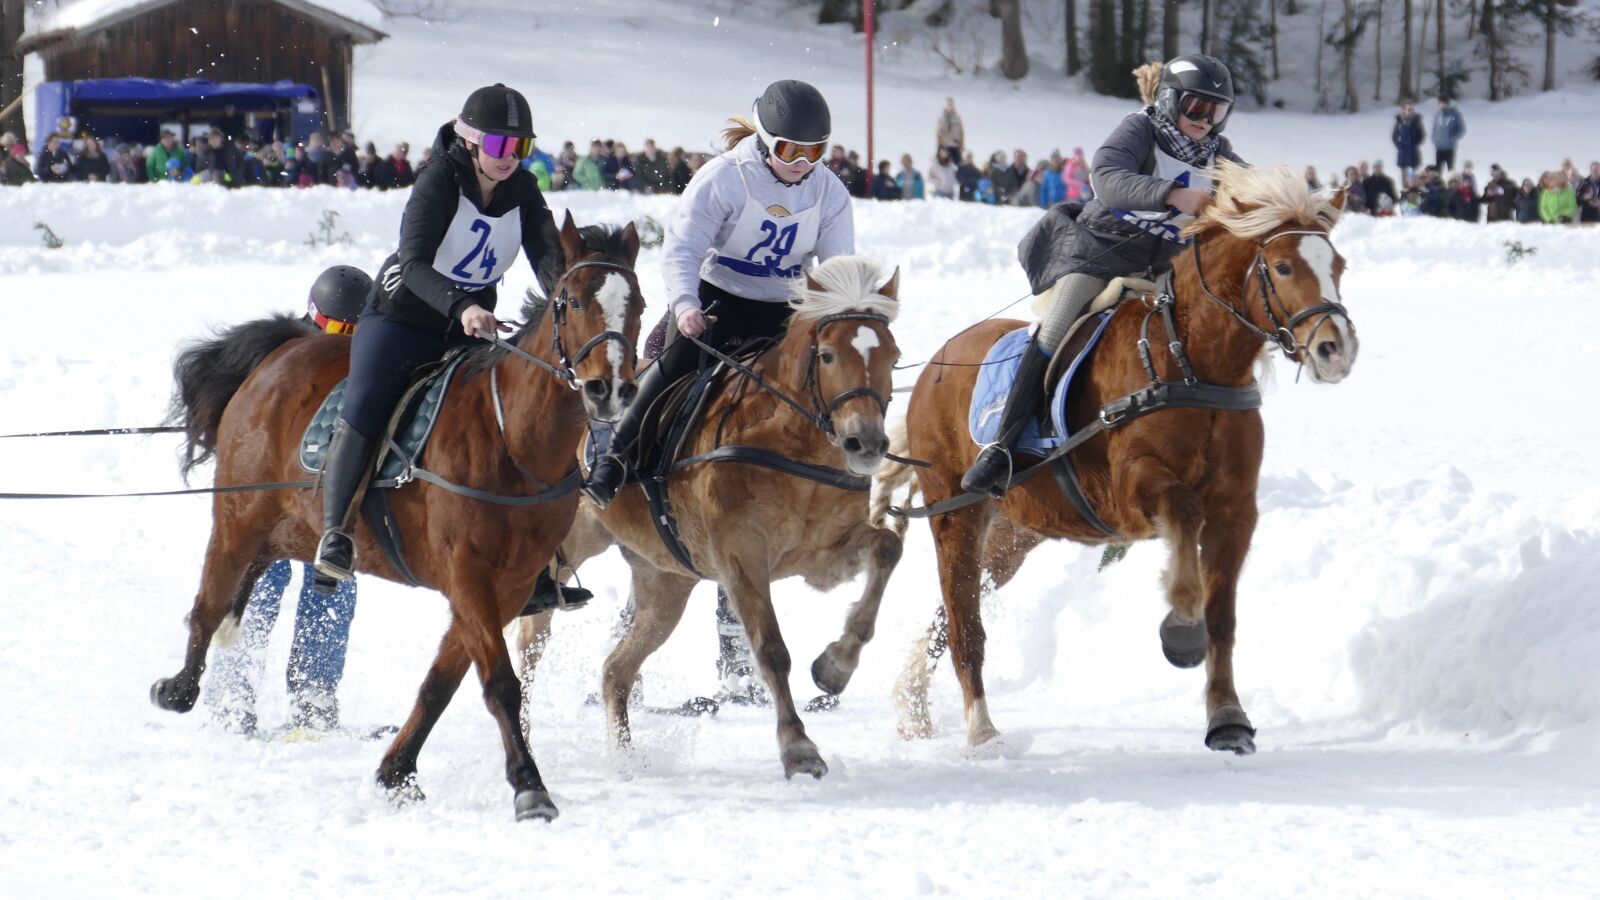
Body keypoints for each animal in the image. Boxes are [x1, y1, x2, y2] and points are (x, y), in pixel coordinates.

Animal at [149, 214, 645, 822]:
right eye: (570, 302)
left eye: (639, 305)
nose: (610, 388)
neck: (512, 440)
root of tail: (282, 350)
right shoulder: (470, 578)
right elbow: (500, 684)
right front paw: (530, 786)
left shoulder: (506, 588)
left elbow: (441, 684)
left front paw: (397, 772)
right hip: (239, 518)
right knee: (210, 600)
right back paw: (179, 688)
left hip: (292, 527)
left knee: (252, 577)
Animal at [516, 256, 906, 779]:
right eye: (826, 356)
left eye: (894, 357)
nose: (866, 444)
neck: (787, 439)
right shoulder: (741, 558)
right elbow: (770, 648)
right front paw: (798, 747)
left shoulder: (823, 556)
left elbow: (887, 549)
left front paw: (835, 666)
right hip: (575, 542)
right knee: (532, 637)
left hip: (665, 582)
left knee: (616, 670)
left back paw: (627, 758)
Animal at [876, 163, 1356, 755]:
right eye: (1284, 266)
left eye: (1338, 265)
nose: (1336, 349)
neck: (1189, 361)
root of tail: (932, 368)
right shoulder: (1130, 489)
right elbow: (1183, 513)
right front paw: (1181, 623)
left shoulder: (1237, 509)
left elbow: (1223, 617)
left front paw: (1227, 717)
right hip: (955, 514)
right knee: (965, 619)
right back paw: (982, 730)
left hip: (1014, 535)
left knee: (953, 612)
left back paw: (914, 704)